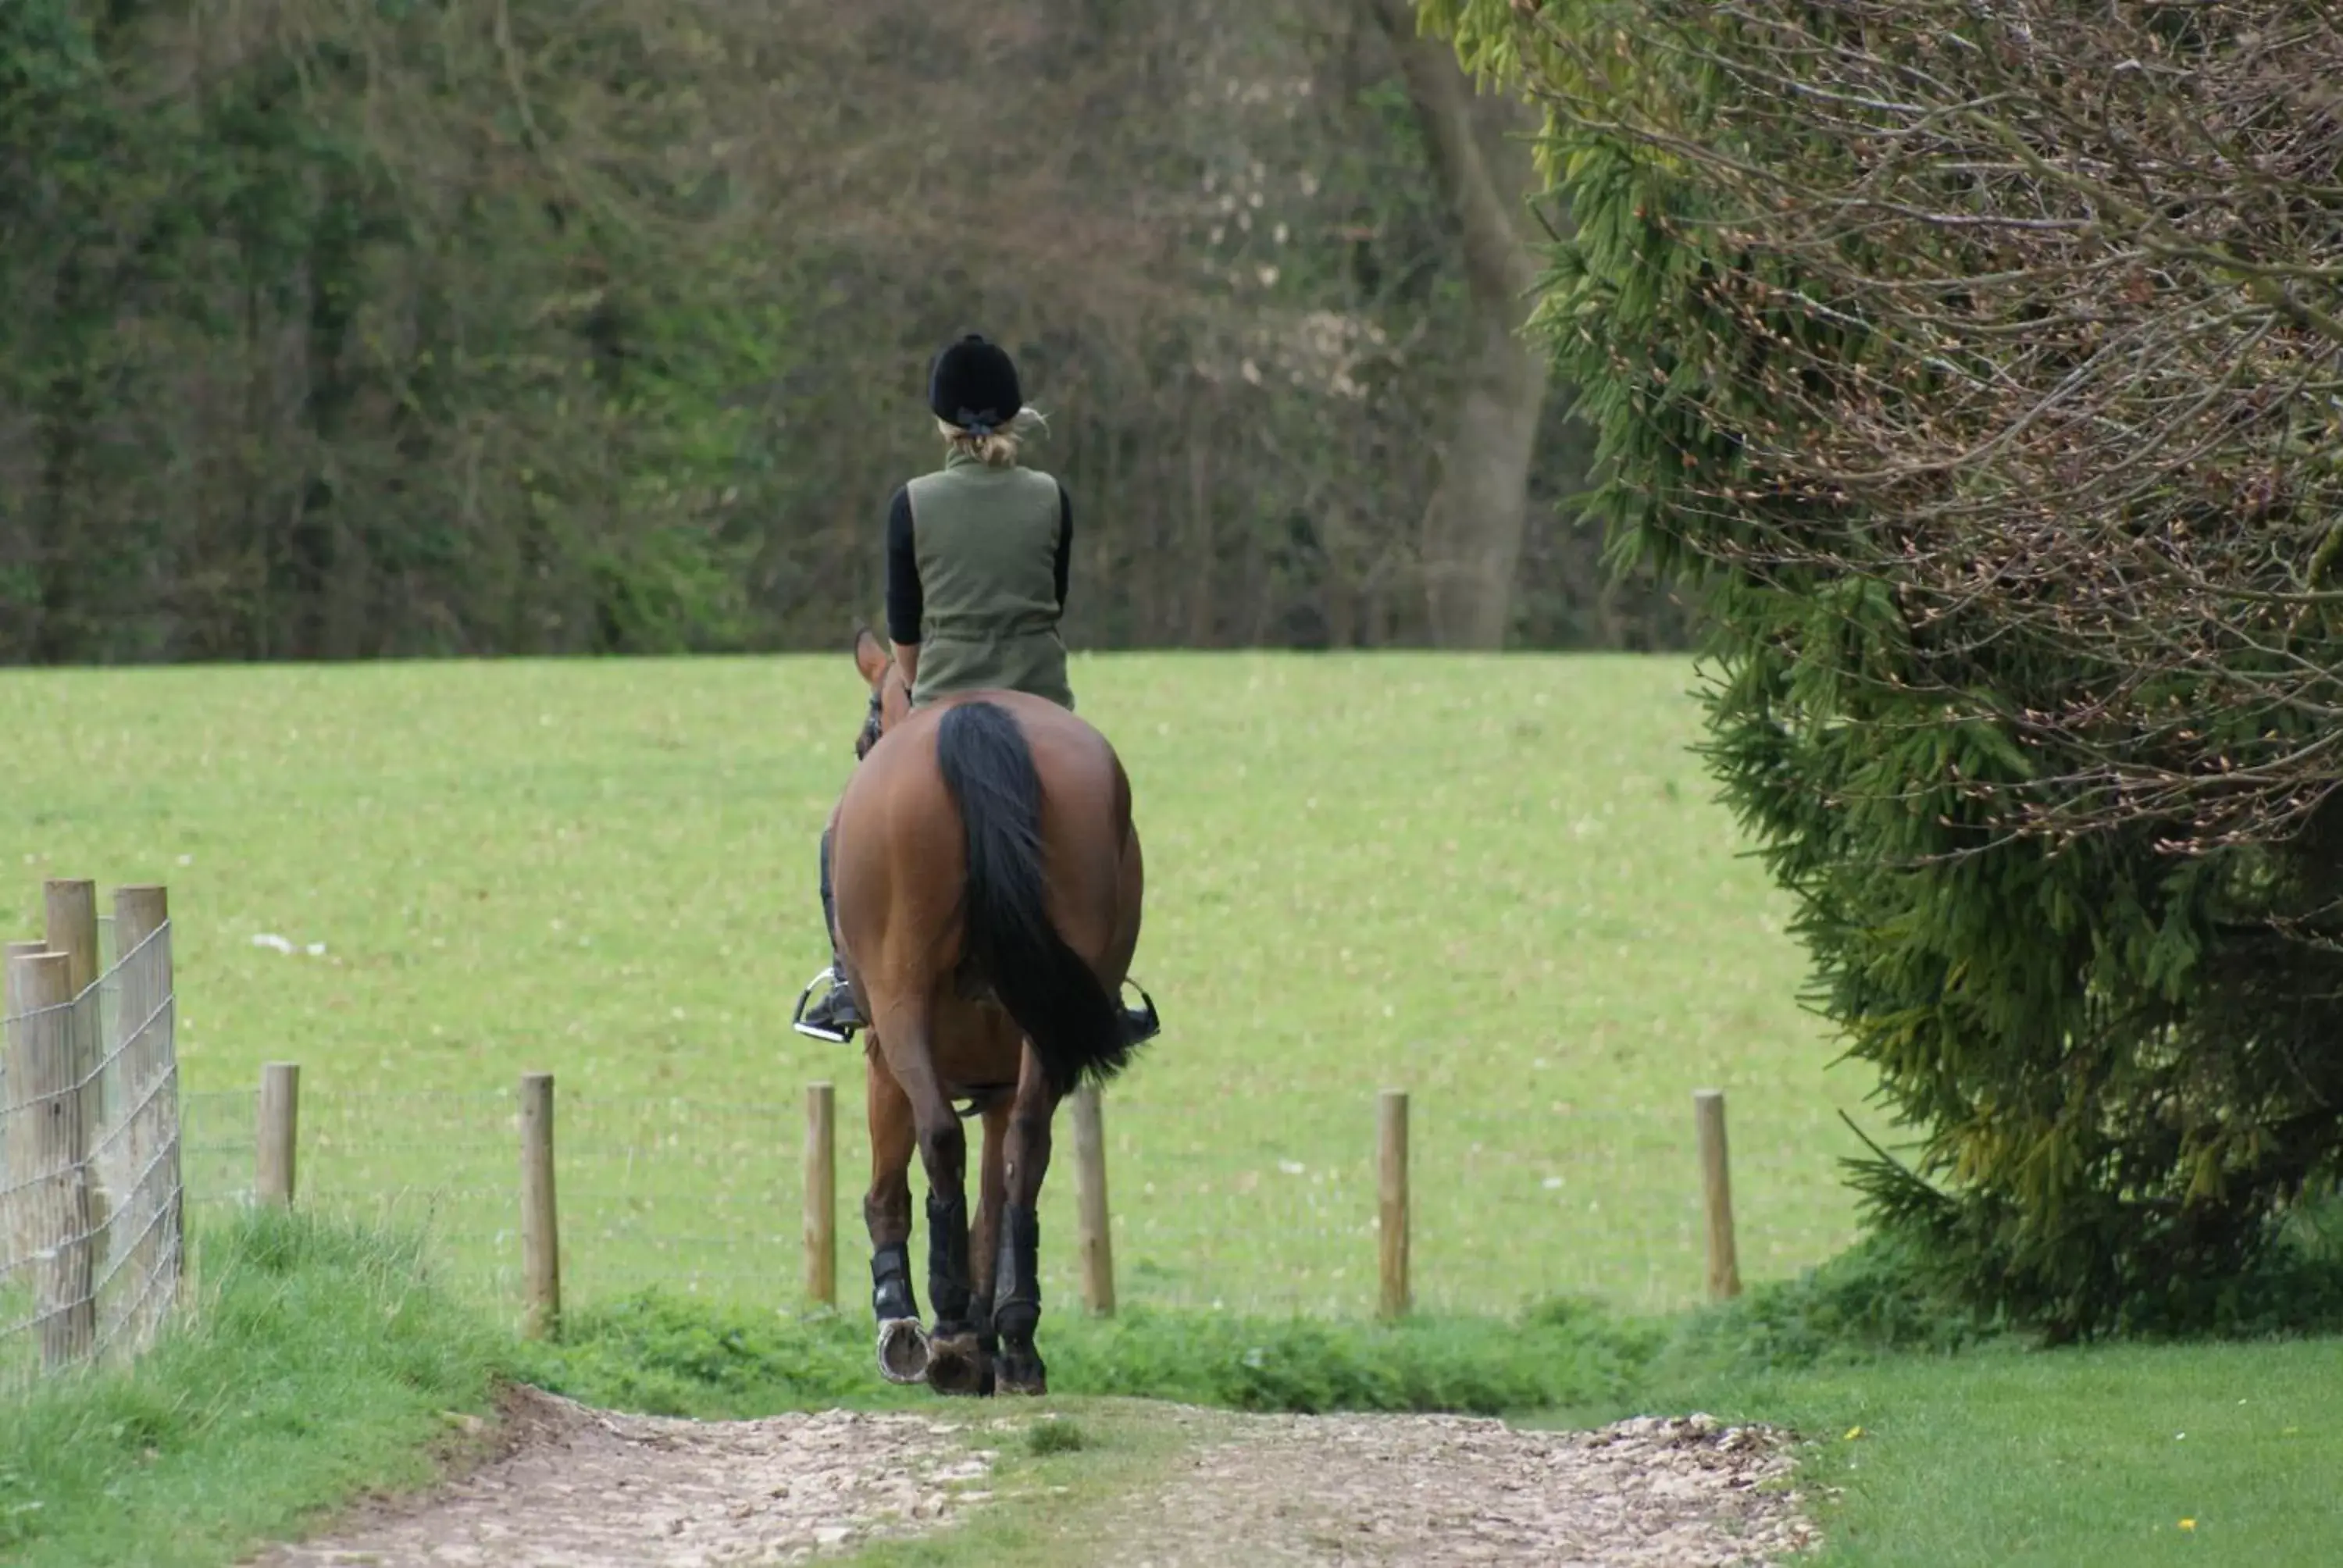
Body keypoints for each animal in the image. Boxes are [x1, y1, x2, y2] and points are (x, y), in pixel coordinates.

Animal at [815, 623, 1162, 1396]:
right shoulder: (1002, 1085)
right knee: (1028, 1148)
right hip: (1044, 1034)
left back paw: (944, 1332)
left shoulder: (883, 1059)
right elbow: (993, 1206)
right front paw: (994, 1335)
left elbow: (889, 1191)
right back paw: (1016, 1341)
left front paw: (907, 1321)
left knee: (941, 1138)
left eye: (864, 734)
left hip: (901, 1007)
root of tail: (977, 717)